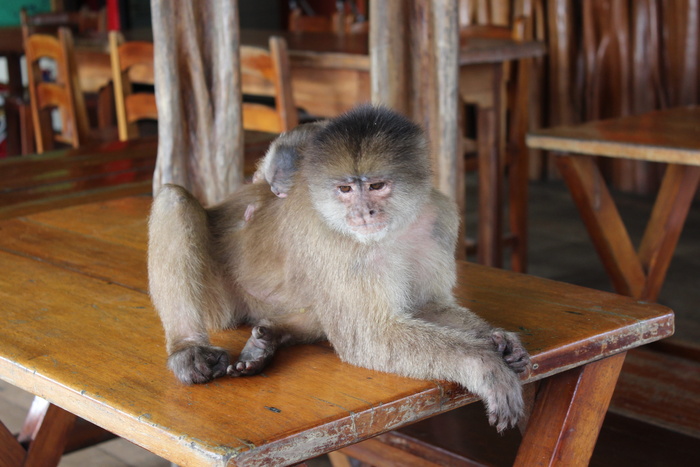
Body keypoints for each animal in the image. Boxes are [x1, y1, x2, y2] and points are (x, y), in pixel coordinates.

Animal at [149, 105, 532, 432]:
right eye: (345, 189)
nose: (363, 213)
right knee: (173, 200)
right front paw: (484, 365)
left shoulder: (439, 218)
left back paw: (272, 337)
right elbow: (368, 338)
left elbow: (426, 305)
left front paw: (497, 339)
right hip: (223, 304)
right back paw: (186, 348)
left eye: (376, 186)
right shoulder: (337, 241)